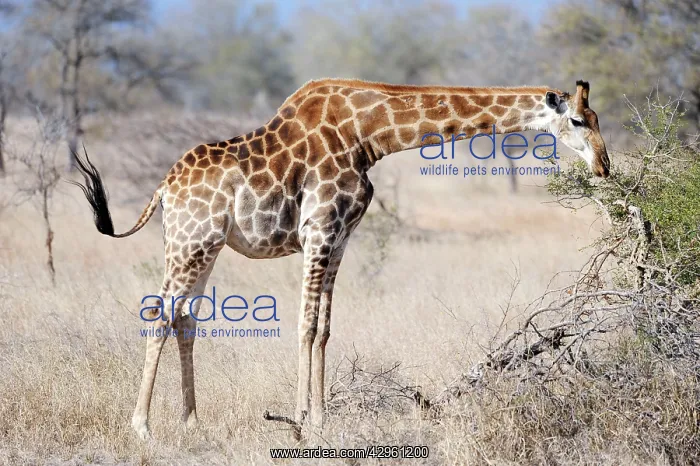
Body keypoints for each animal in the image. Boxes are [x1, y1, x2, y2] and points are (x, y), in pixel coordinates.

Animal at [72, 78, 610, 440]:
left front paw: (323, 417)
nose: (604, 166)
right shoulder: (319, 230)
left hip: (205, 247)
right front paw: (299, 420)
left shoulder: (342, 235)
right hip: (190, 242)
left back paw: (192, 422)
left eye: (597, 120)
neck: (367, 134)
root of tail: (164, 188)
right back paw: (142, 426)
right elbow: (305, 324)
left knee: (186, 317)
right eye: (577, 121)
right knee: (159, 312)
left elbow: (325, 328)